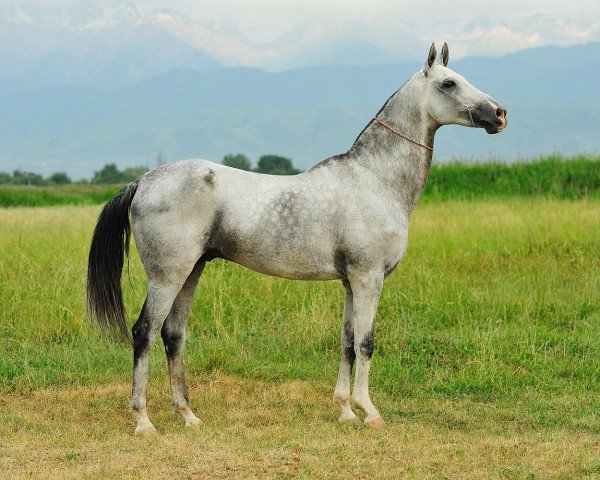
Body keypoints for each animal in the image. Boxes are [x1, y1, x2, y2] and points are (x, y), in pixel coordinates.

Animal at [85, 43, 506, 436]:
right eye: (449, 83)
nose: (499, 114)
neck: (374, 179)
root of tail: (143, 181)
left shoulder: (351, 282)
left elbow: (347, 342)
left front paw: (345, 410)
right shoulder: (368, 278)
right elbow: (366, 342)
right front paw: (369, 412)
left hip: (191, 272)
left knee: (173, 335)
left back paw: (188, 415)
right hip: (167, 277)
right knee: (144, 332)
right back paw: (143, 420)